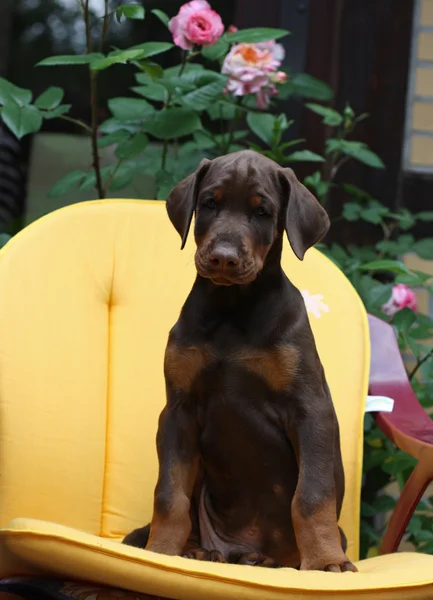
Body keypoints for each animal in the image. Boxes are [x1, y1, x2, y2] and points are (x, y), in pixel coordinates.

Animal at [123, 149, 356, 572]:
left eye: (262, 212)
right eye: (209, 203)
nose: (223, 258)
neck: (232, 308)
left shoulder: (311, 409)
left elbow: (312, 495)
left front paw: (325, 561)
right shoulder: (178, 411)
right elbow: (169, 494)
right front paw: (160, 551)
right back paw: (198, 550)